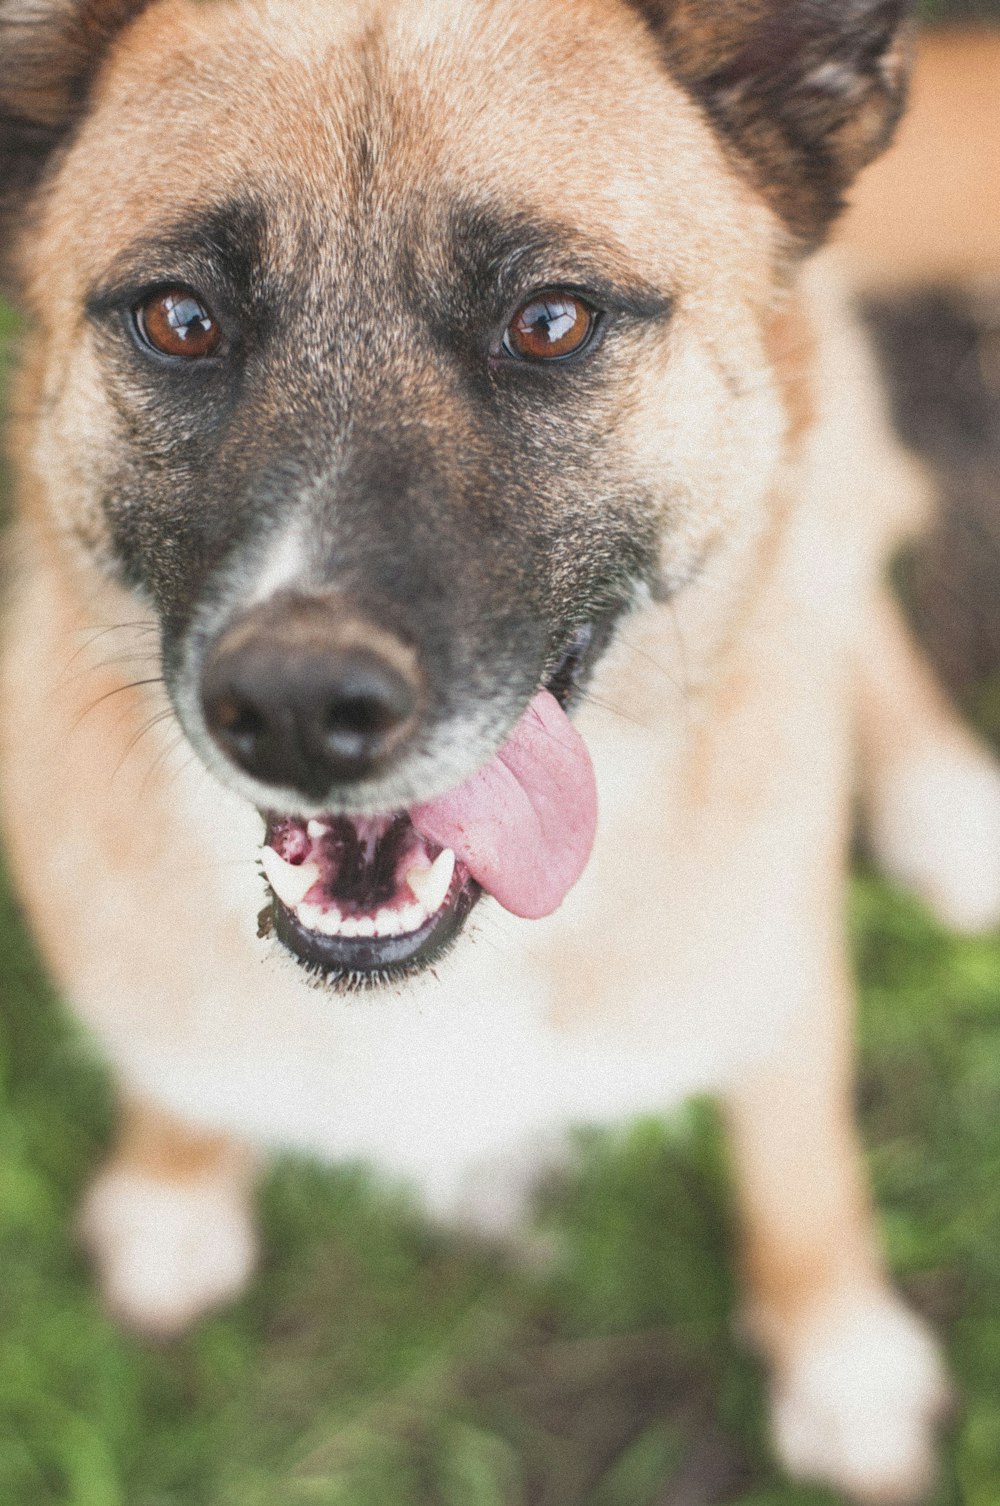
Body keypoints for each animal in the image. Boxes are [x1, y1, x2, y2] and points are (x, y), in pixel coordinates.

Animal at [1, 0, 1000, 1499]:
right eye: (179, 318)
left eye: (550, 321)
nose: (295, 704)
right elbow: (169, 1067)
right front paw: (175, 1184)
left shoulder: (779, 973)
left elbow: (801, 1164)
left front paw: (836, 1346)